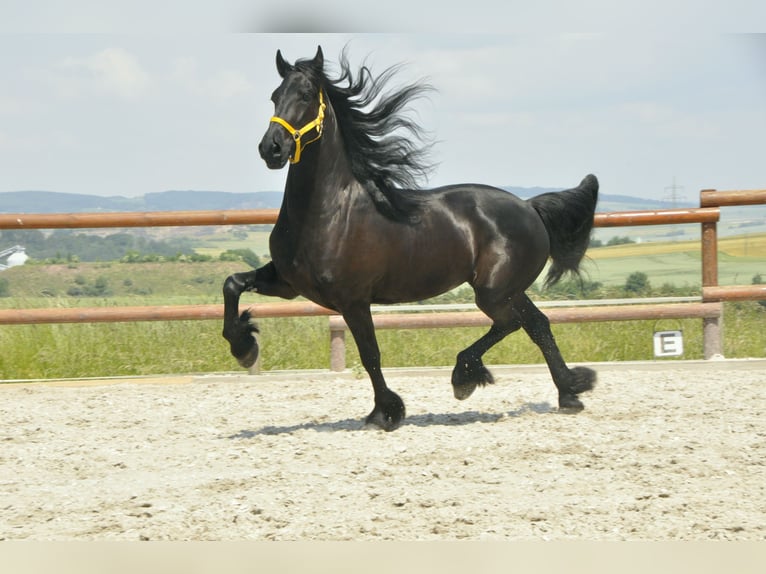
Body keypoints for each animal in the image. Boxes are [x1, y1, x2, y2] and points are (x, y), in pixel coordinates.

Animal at [222, 46, 600, 432]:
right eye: (274, 96)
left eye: (306, 95)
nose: (271, 148)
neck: (330, 213)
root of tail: (529, 207)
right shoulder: (289, 283)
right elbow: (232, 283)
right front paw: (244, 347)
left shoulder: (353, 300)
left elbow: (370, 354)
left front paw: (385, 413)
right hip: (508, 289)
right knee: (537, 324)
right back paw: (570, 392)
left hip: (493, 291)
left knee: (511, 323)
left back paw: (465, 377)